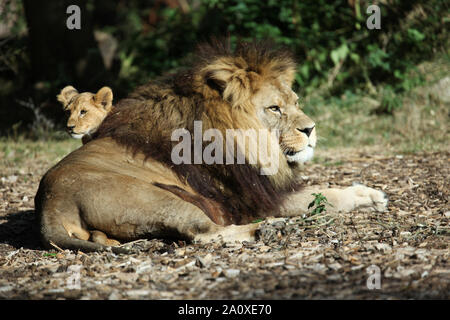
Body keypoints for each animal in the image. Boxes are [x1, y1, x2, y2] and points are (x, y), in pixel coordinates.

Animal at [35, 42, 386, 252]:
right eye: (275, 108)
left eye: (296, 102)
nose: (311, 129)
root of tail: (50, 204)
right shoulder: (257, 198)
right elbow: (326, 196)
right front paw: (367, 196)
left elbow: (326, 189)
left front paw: (367, 192)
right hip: (162, 199)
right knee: (202, 232)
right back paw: (267, 230)